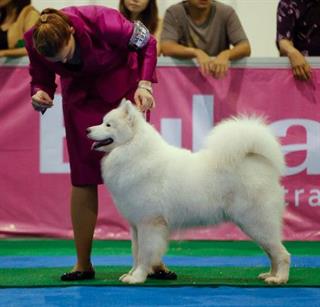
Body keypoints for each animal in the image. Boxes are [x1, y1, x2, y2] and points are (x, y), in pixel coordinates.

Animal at [87, 100, 290, 286]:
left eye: (108, 125)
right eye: (102, 122)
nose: (87, 130)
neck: (133, 151)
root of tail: (257, 161)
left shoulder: (149, 223)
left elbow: (144, 253)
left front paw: (138, 277)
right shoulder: (135, 225)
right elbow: (135, 251)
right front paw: (131, 273)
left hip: (257, 223)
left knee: (282, 253)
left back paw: (279, 278)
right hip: (254, 226)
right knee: (272, 252)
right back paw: (269, 274)